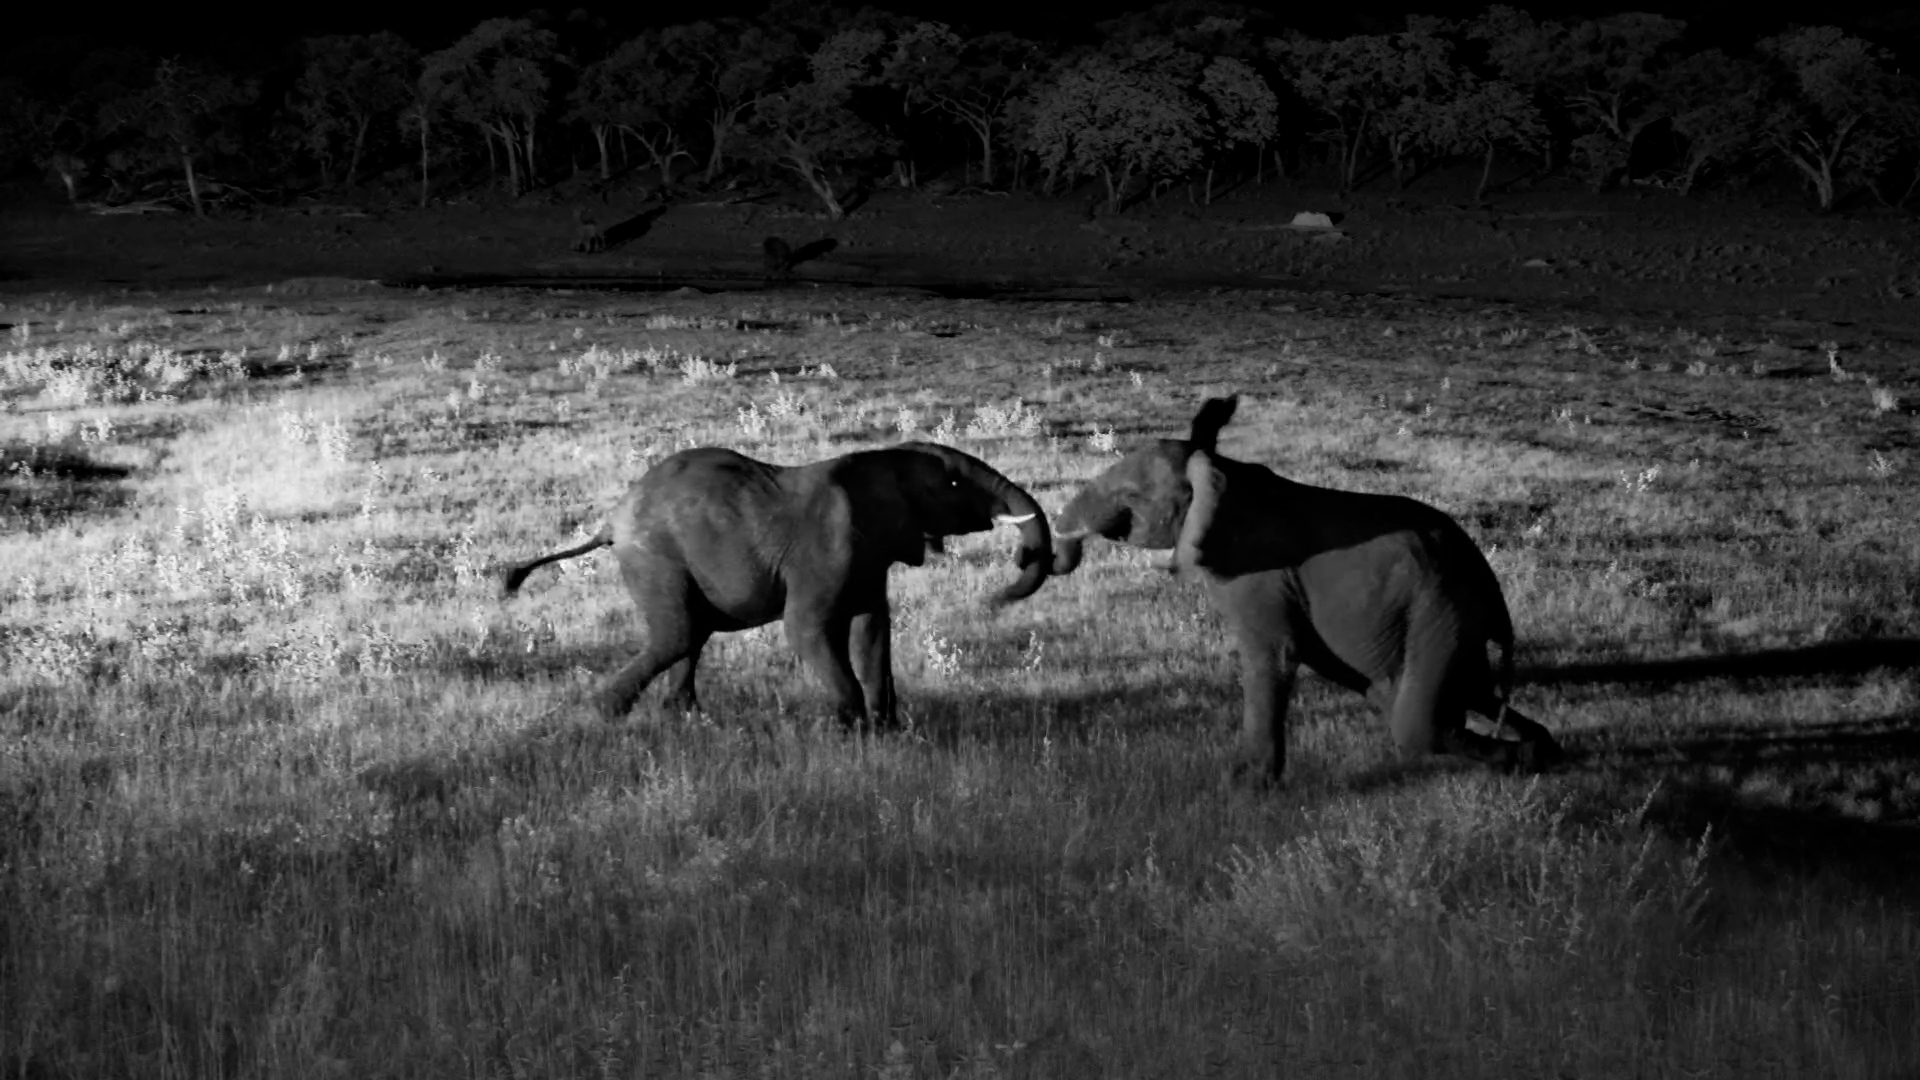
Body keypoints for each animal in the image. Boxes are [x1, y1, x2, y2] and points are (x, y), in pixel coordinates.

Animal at [501, 441, 1052, 726]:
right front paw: (850, 733)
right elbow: (806, 630)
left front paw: (887, 733)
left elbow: (873, 633)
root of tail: (611, 522)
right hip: (657, 557)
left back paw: (685, 719)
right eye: (955, 484)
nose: (1001, 591)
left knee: (690, 635)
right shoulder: (826, 551)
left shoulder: (870, 556)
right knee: (678, 634)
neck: (880, 458)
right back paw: (606, 714)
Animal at [1050, 395, 1561, 786]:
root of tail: (1491, 589)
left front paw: (1244, 789)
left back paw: (1521, 764)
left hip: (1443, 607)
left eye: (1132, 498)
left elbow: (1272, 658)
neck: (1216, 467)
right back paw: (1541, 753)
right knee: (1468, 691)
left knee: (1419, 724)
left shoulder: (1258, 576)